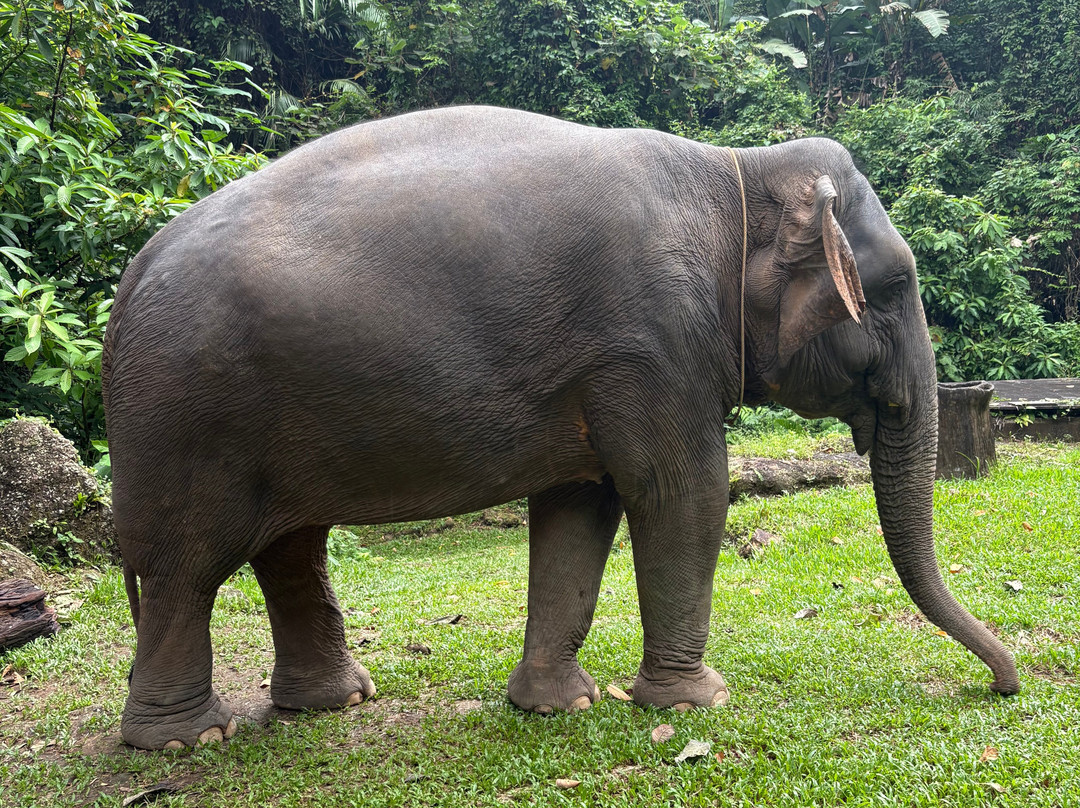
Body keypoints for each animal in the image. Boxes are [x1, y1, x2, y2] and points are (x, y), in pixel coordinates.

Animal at [102, 105, 1019, 750]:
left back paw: (336, 703)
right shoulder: (650, 341)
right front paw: (698, 701)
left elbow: (581, 507)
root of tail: (130, 277)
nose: (1005, 685)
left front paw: (556, 707)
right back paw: (187, 741)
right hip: (187, 419)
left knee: (289, 547)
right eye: (893, 287)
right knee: (190, 566)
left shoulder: (597, 365)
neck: (734, 168)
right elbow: (683, 493)